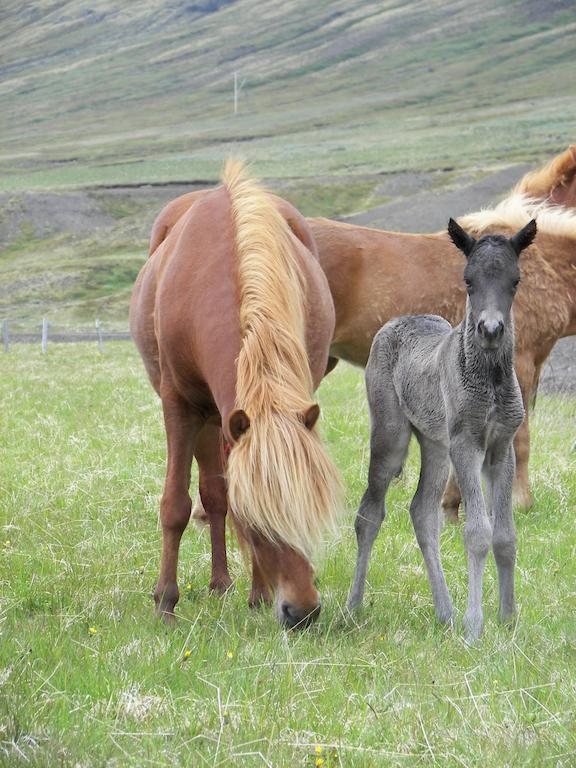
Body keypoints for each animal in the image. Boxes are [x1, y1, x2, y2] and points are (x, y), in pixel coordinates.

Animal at [130, 159, 342, 628]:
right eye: (260, 524)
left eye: (312, 505)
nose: (302, 611)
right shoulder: (180, 404)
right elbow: (177, 503)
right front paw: (165, 604)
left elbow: (227, 492)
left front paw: (258, 592)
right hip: (208, 417)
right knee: (211, 492)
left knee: (218, 490)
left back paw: (233, 585)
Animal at [348, 218, 536, 640]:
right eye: (468, 281)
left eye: (515, 281)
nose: (490, 329)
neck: (490, 379)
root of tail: (392, 324)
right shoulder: (466, 444)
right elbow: (477, 533)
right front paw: (474, 626)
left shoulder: (501, 446)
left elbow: (505, 536)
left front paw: (508, 618)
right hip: (391, 435)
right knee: (369, 513)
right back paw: (352, 606)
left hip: (435, 445)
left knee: (422, 511)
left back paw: (444, 612)